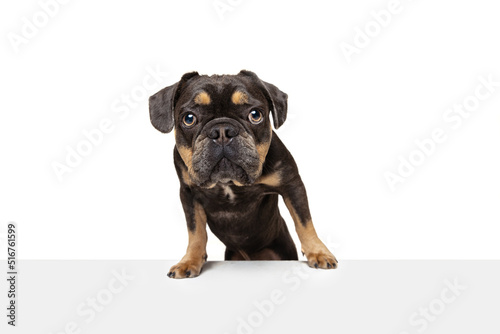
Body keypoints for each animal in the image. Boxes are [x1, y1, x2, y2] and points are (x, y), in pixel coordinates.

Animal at [148, 69, 336, 278]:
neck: (229, 182)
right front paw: (190, 261)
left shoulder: (292, 184)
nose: (222, 131)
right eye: (189, 119)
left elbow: (304, 221)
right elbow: (195, 232)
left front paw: (318, 252)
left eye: (255, 115)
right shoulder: (189, 194)